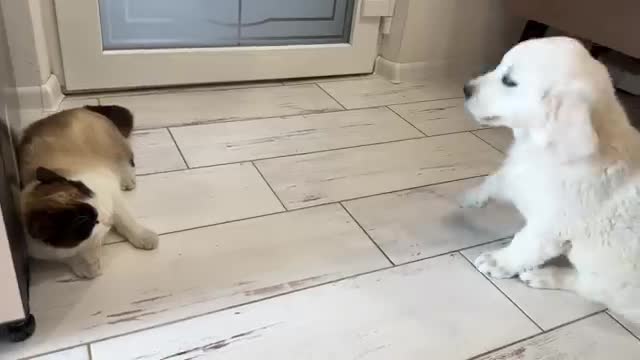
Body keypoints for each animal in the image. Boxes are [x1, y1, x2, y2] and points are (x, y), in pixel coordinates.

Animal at [18, 104, 158, 278]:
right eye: (90, 222)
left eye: (90, 194)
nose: (108, 220)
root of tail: (78, 108)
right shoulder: (48, 252)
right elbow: (72, 257)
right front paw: (88, 267)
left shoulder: (112, 194)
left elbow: (127, 221)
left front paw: (144, 238)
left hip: (115, 147)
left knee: (126, 160)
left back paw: (127, 180)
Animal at [462, 35, 640, 324]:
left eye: (509, 81)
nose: (466, 88)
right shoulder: (519, 173)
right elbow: (497, 180)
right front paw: (472, 196)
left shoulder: (550, 225)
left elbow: (524, 245)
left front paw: (498, 262)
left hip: (611, 279)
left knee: (586, 287)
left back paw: (544, 276)